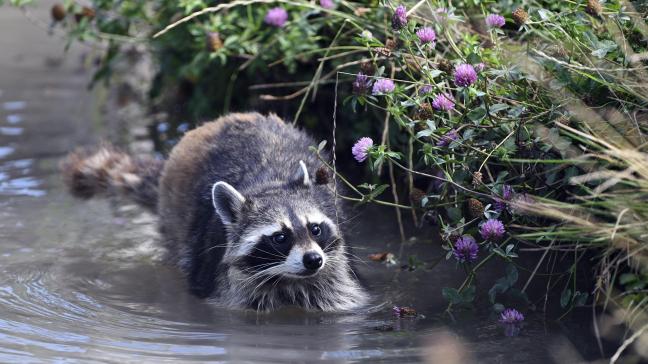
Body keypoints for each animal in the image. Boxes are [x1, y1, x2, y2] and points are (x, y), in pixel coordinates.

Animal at [65, 112, 370, 312]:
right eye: (280, 237)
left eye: (315, 229)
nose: (313, 260)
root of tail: (227, 118)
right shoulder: (222, 283)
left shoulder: (336, 268)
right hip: (174, 216)